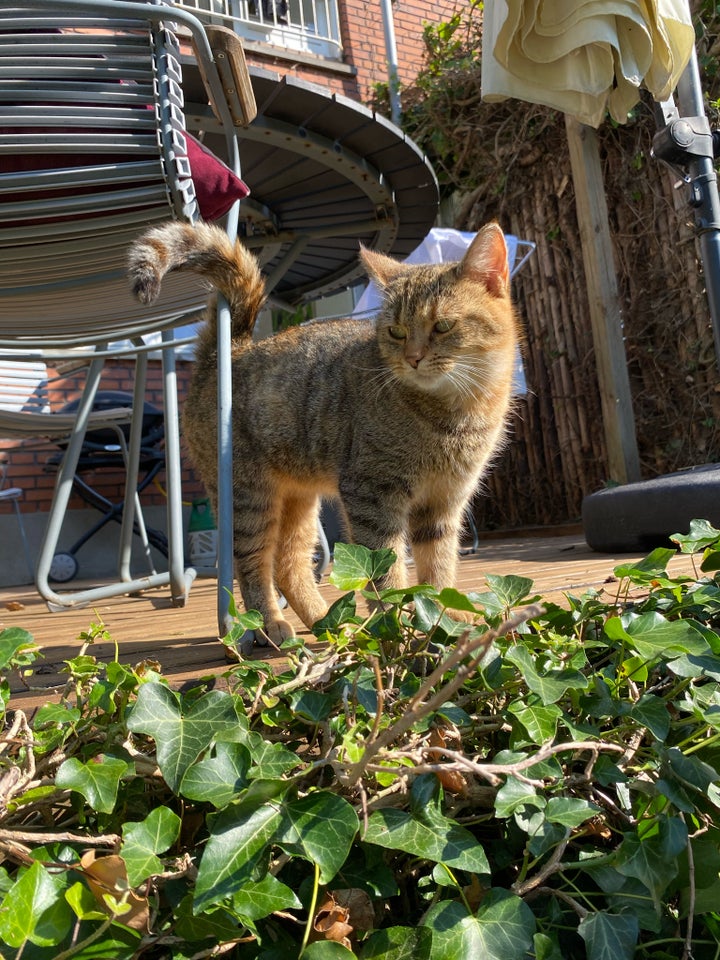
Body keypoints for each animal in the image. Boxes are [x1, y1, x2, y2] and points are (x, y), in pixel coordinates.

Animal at [129, 223, 520, 644]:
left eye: (443, 325)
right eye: (396, 332)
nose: (412, 358)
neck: (457, 413)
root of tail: (227, 352)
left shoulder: (444, 503)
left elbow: (438, 569)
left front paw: (443, 615)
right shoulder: (371, 494)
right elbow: (386, 570)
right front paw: (397, 625)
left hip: (299, 503)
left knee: (289, 566)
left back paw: (329, 622)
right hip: (249, 501)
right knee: (252, 566)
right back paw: (270, 626)